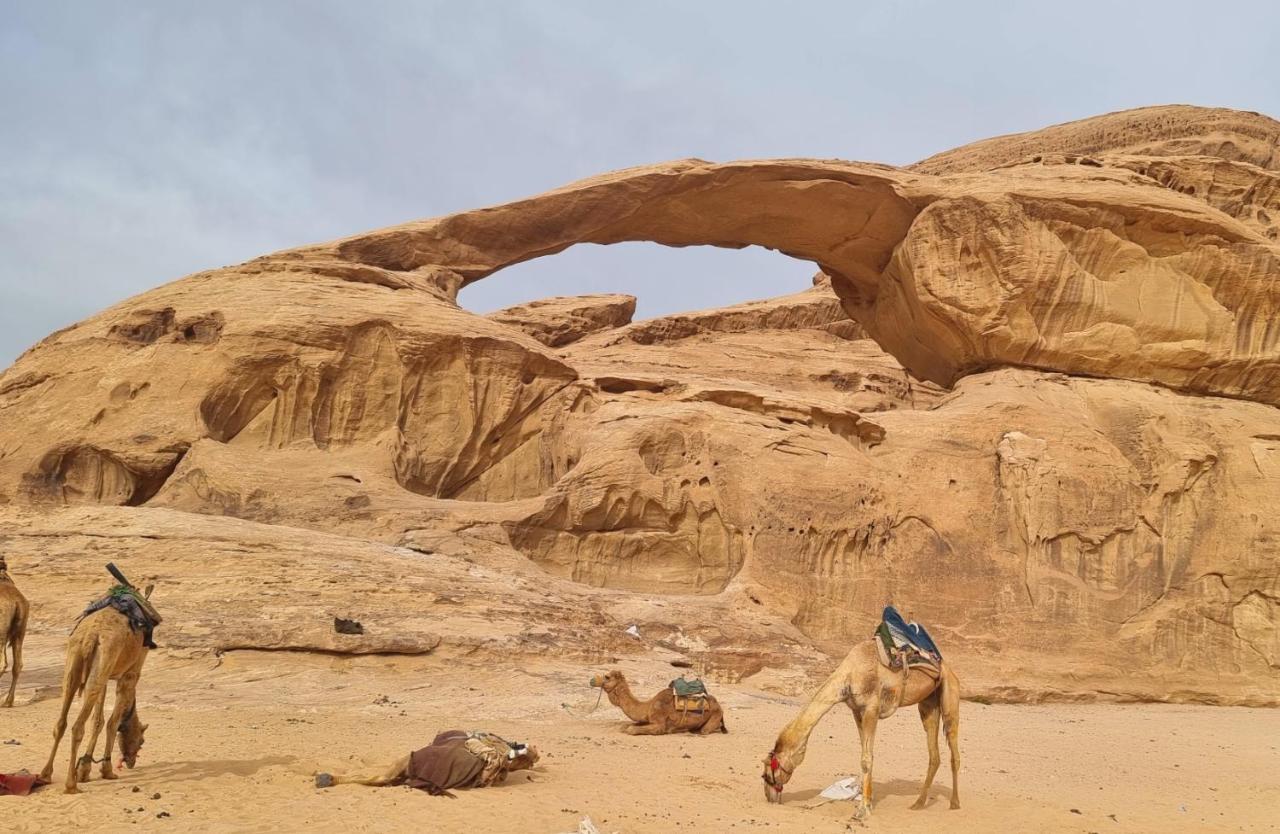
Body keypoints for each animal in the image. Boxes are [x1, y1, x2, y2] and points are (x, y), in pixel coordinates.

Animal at [591, 670, 732, 736]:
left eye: (607, 677)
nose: (592, 680)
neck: (648, 706)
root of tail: (720, 706)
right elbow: (626, 726)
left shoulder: (659, 724)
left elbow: (631, 729)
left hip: (715, 715)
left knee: (706, 730)